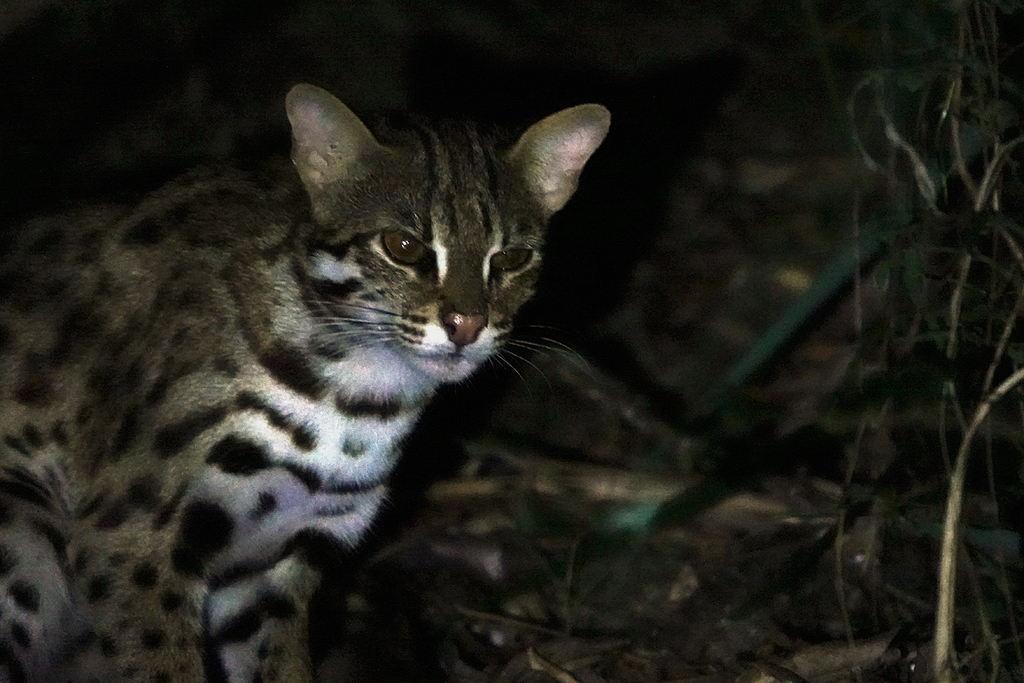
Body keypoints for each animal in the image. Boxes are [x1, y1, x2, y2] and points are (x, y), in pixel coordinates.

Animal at [0, 85, 606, 683]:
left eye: (512, 258)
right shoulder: (131, 534)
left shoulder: (282, 557)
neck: (361, 396)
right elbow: (164, 667)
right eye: (403, 246)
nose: (467, 325)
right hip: (27, 531)